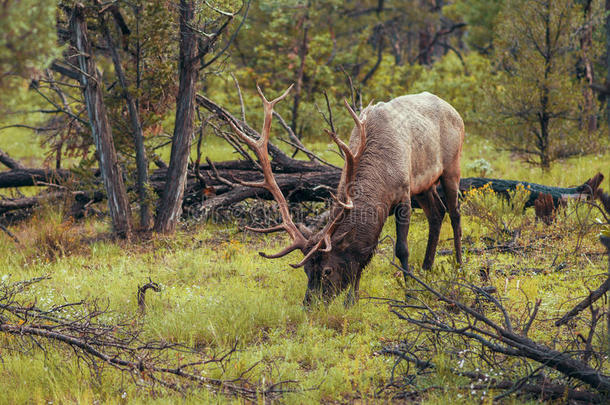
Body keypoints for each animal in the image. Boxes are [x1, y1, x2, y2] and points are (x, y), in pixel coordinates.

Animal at [227, 86, 460, 306]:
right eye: (307, 271)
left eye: (327, 271)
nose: (310, 305)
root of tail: (452, 109)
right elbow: (364, 255)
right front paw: (352, 300)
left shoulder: (404, 193)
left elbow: (401, 249)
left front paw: (409, 295)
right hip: (424, 186)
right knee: (437, 213)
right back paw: (427, 268)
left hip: (452, 166)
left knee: (454, 213)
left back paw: (458, 265)